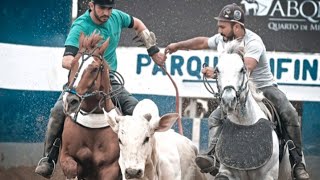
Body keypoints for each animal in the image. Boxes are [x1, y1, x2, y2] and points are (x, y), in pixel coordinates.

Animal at [60, 31, 121, 179]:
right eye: (72, 64)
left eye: (94, 69)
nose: (70, 100)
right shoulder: (66, 156)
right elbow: (71, 167)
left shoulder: (111, 168)